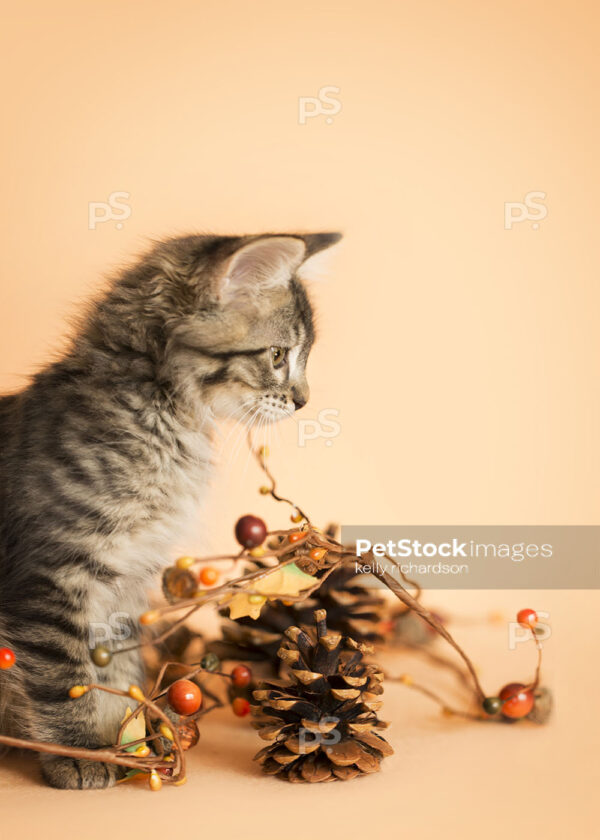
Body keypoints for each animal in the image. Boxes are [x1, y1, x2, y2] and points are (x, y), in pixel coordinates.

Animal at [0, 231, 340, 788]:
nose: (303, 401)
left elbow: (114, 670)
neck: (164, 422)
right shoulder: (48, 575)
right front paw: (83, 750)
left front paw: (128, 737)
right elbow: (65, 676)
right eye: (277, 354)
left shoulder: (121, 584)